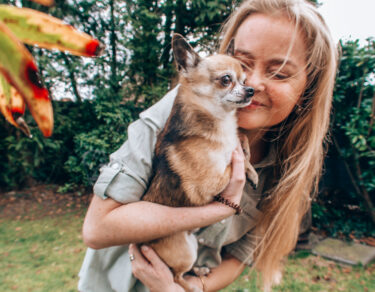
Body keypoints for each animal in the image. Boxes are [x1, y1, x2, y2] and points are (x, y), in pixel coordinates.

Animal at [141, 34, 258, 292]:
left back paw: (200, 270)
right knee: (175, 276)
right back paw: (191, 285)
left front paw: (250, 164)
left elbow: (241, 138)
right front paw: (246, 168)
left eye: (245, 80)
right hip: (185, 251)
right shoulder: (207, 184)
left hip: (192, 245)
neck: (222, 121)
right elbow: (231, 162)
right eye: (226, 79)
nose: (251, 90)